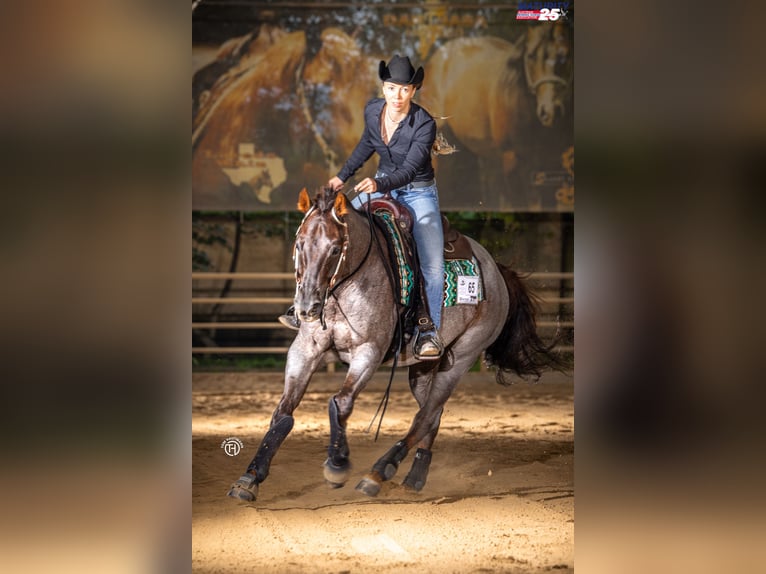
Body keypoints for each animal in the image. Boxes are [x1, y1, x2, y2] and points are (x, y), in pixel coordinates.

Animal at [227, 186, 567, 502]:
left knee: (424, 416)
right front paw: (250, 478)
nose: (307, 307)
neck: (346, 285)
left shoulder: (368, 352)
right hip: (424, 369)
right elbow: (283, 412)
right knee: (433, 414)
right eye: (299, 244)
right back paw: (414, 477)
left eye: (335, 249)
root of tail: (496, 270)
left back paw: (378, 473)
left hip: (461, 359)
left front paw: (336, 466)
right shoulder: (305, 350)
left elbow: (340, 402)